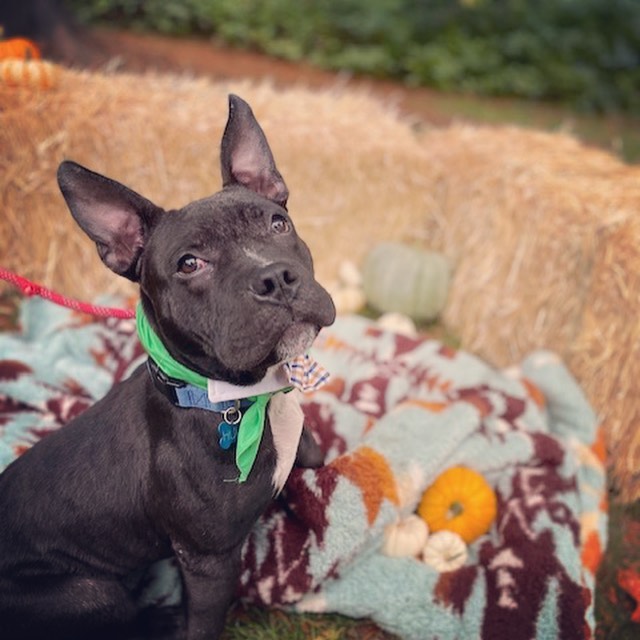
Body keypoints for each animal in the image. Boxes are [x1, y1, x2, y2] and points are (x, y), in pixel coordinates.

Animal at [0, 92, 338, 636]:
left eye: (278, 224)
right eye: (189, 264)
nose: (275, 278)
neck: (236, 398)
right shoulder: (210, 560)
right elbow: (204, 623)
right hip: (90, 591)